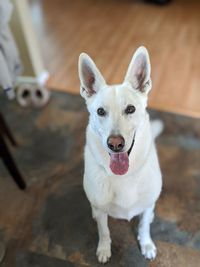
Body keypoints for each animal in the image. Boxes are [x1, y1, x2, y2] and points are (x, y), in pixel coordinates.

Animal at [78, 47, 162, 264]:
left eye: (130, 109)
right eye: (100, 111)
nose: (115, 144)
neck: (124, 176)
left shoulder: (147, 204)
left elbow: (144, 226)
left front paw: (146, 244)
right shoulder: (101, 210)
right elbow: (104, 230)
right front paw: (104, 249)